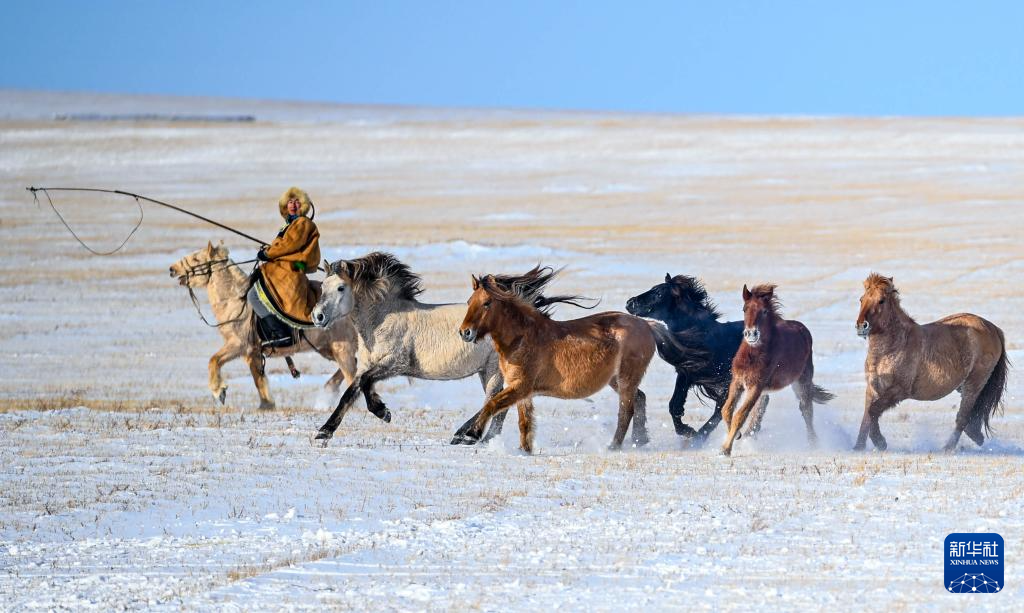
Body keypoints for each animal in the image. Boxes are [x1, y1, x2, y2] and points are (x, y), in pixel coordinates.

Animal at [622, 274, 770, 442]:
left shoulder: (727, 380)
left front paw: (698, 437)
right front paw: (687, 431)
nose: (629, 303)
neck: (706, 339)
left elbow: (720, 408)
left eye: (658, 293)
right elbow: (675, 405)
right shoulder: (686, 373)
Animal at [720, 284, 831, 456]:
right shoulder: (737, 381)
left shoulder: (756, 386)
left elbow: (740, 415)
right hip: (767, 391)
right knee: (759, 413)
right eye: (744, 309)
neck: (753, 355)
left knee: (806, 410)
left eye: (765, 311)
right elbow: (727, 410)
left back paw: (813, 443)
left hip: (802, 381)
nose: (751, 334)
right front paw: (737, 436)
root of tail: (803, 329)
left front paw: (726, 449)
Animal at [851, 276, 1003, 452]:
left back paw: (948, 448)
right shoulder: (873, 388)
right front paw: (858, 447)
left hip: (974, 383)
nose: (862, 326)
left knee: (963, 417)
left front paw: (880, 442)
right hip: (965, 386)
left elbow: (873, 411)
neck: (892, 347)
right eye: (861, 299)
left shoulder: (899, 390)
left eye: (881, 300)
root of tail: (992, 327)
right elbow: (867, 416)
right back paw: (975, 436)